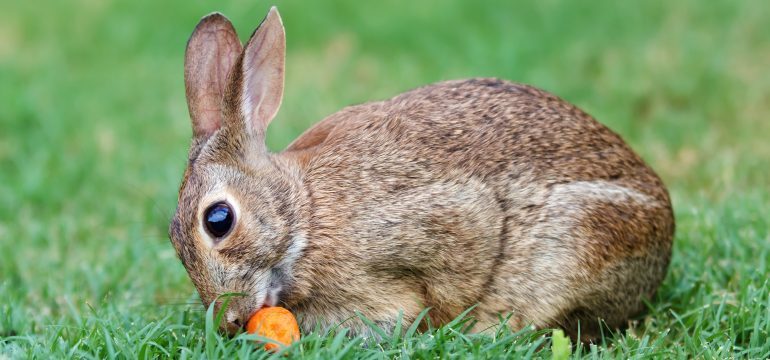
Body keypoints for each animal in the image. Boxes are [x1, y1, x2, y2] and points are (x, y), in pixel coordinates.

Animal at [168, 7, 672, 342]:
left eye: (219, 220)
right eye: (173, 238)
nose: (229, 321)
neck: (303, 215)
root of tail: (664, 234)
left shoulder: (446, 219)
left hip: (583, 235)